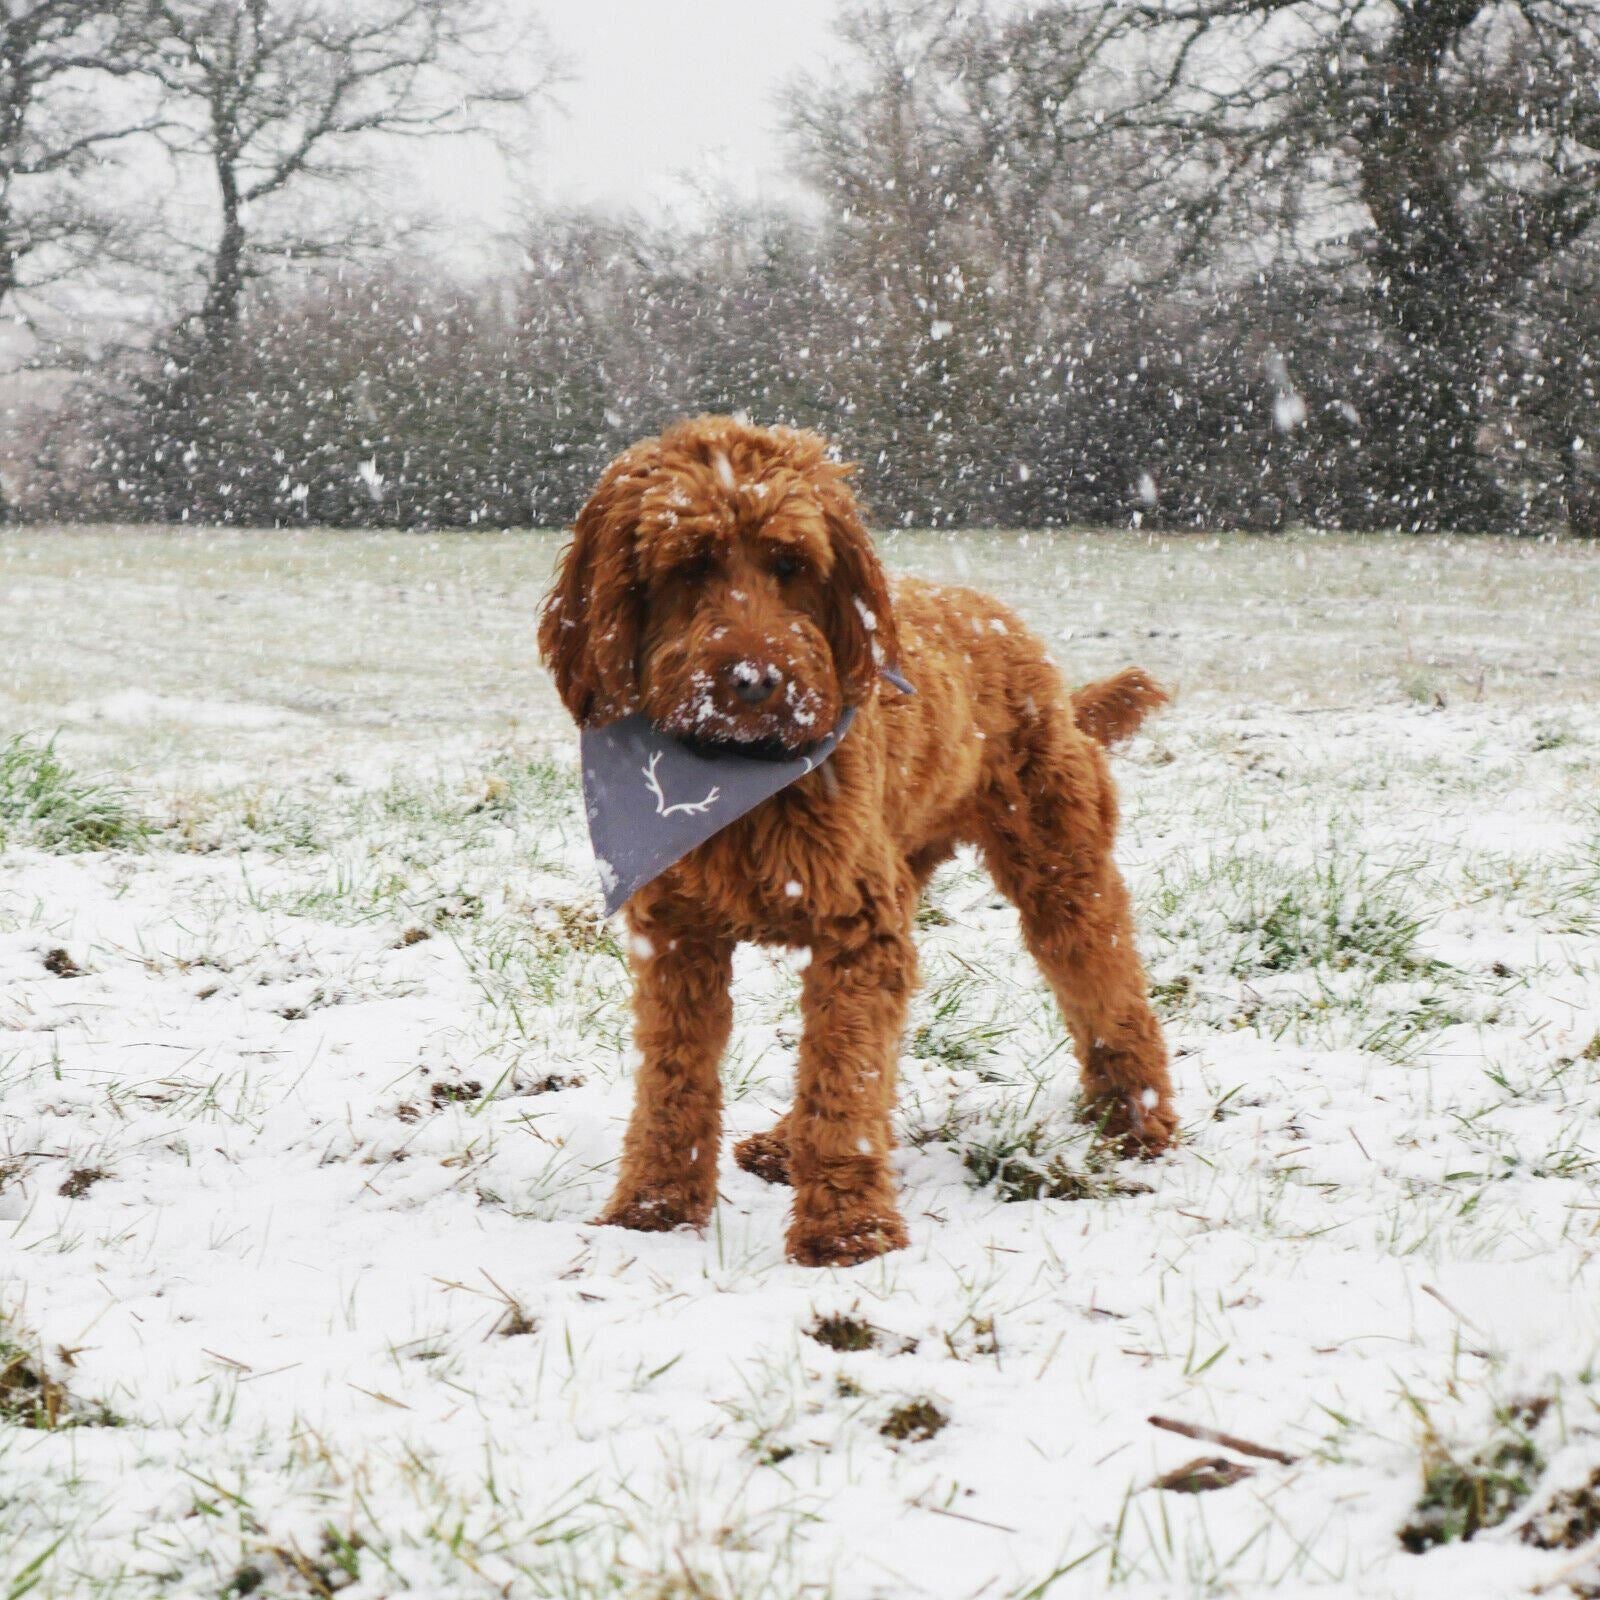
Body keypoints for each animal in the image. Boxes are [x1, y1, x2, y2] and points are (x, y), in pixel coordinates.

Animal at [537, 419, 1177, 1267]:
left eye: (790, 564)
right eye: (690, 564)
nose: (754, 680)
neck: (736, 772)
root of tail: (1007, 624)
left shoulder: (856, 931)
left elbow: (843, 1078)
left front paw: (848, 1230)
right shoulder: (676, 938)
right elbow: (674, 1078)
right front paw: (654, 1208)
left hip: (1057, 862)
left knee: (1107, 982)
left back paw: (1136, 1121)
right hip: (909, 862)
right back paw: (781, 1144)